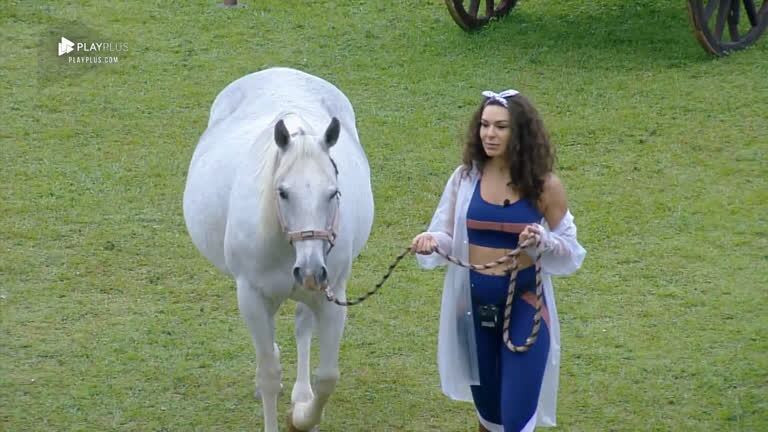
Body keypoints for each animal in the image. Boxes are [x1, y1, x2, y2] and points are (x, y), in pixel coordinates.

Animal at [182, 67, 374, 431]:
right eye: (283, 192)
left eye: (333, 192)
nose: (310, 271)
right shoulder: (252, 297)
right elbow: (269, 374)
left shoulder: (332, 297)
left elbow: (327, 377)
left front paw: (302, 416)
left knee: (301, 327)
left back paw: (301, 394)